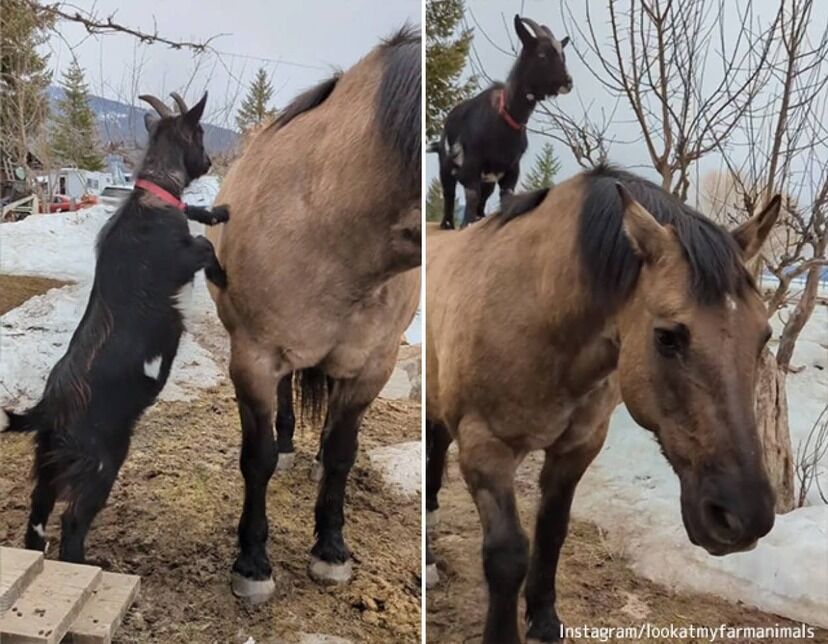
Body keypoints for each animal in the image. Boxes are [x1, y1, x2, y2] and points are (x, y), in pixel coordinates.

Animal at [0, 89, 230, 564]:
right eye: (199, 132)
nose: (208, 163)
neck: (152, 196)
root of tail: (50, 407)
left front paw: (216, 210)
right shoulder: (184, 258)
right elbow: (203, 246)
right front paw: (224, 275)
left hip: (49, 464)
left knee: (36, 518)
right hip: (103, 461)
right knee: (73, 524)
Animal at [204, 27, 418, 600]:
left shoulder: (372, 367)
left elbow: (343, 451)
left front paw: (331, 550)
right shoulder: (254, 359)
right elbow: (254, 458)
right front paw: (252, 563)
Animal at [426, 167, 784, 644]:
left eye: (763, 336)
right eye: (667, 337)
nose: (744, 517)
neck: (535, 310)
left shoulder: (578, 448)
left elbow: (552, 531)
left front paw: (545, 620)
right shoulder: (486, 448)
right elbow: (506, 555)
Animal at [436, 13, 572, 231]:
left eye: (563, 55)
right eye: (542, 55)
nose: (568, 82)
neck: (503, 119)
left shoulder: (511, 171)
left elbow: (504, 199)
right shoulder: (471, 167)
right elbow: (471, 198)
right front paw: (466, 224)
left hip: (489, 180)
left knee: (482, 202)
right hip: (446, 167)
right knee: (449, 195)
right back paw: (447, 225)